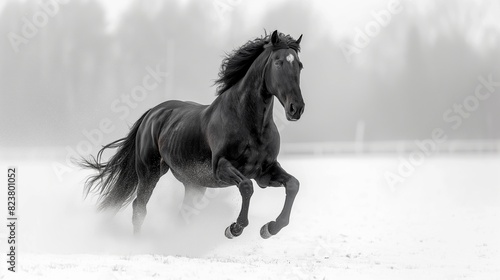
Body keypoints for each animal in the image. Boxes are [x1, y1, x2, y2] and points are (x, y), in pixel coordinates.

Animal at [81, 30, 304, 240]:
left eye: (299, 65)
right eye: (278, 62)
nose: (296, 108)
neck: (250, 126)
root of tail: (152, 113)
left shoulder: (265, 171)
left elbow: (293, 185)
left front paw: (270, 228)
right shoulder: (221, 167)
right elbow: (247, 187)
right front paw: (234, 228)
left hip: (193, 185)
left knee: (181, 215)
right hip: (149, 172)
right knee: (139, 208)